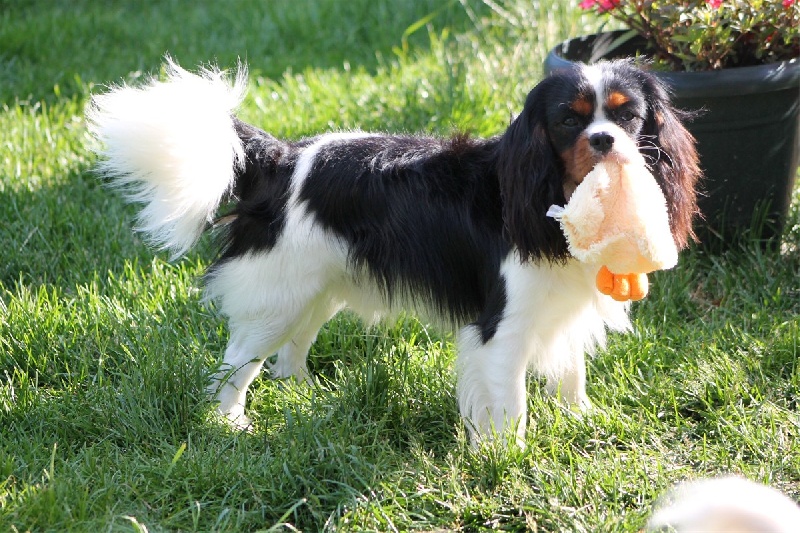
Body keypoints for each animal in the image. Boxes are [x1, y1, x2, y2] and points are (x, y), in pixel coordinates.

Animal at [89, 57, 700, 444]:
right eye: (568, 120)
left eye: (627, 116)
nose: (603, 140)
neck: (556, 193)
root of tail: (282, 157)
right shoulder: (502, 326)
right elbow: (510, 402)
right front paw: (508, 458)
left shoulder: (560, 307)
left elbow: (571, 375)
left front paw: (581, 421)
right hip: (279, 293)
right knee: (237, 362)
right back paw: (230, 425)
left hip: (319, 285)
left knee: (291, 347)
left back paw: (303, 392)